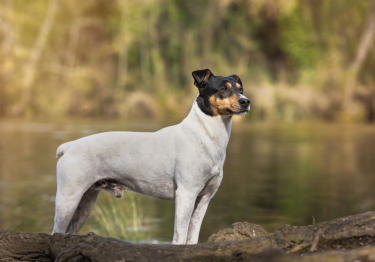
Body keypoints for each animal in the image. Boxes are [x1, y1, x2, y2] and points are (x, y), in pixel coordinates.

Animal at [52, 68, 250, 245]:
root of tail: (70, 146)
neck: (204, 135)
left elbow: (192, 238)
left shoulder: (204, 199)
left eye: (240, 89)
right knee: (56, 232)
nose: (246, 101)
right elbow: (180, 237)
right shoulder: (186, 194)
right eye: (223, 88)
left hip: (85, 203)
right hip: (68, 200)